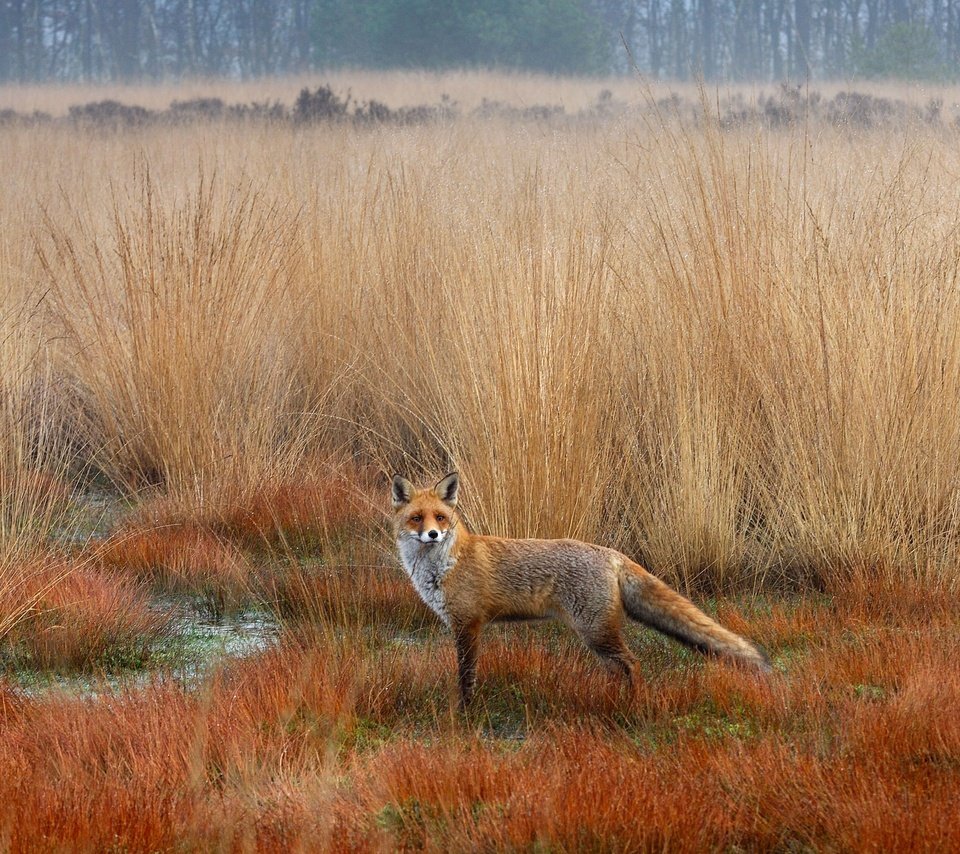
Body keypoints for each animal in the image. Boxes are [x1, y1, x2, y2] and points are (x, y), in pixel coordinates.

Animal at [390, 474, 772, 708]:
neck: (442, 566)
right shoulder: (463, 624)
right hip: (597, 636)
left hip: (595, 632)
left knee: (632, 663)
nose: (432, 535)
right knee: (618, 668)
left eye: (440, 518)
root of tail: (611, 552)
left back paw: (633, 705)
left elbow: (466, 676)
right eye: (417, 518)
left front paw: (466, 712)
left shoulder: (468, 624)